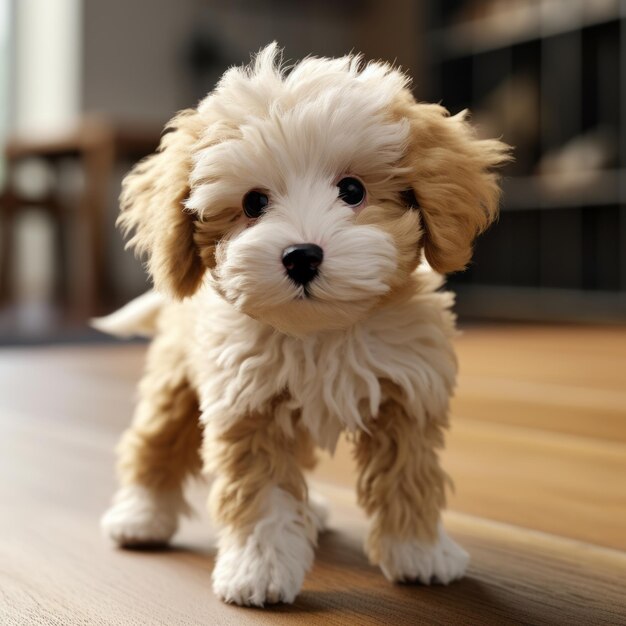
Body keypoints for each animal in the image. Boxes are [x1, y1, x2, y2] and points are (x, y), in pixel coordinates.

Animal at [97, 44, 508, 604]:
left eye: (353, 190)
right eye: (253, 203)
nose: (301, 256)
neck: (321, 331)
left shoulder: (408, 393)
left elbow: (407, 476)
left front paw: (419, 552)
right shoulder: (247, 402)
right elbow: (262, 493)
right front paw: (260, 569)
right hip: (176, 375)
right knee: (155, 438)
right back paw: (140, 516)